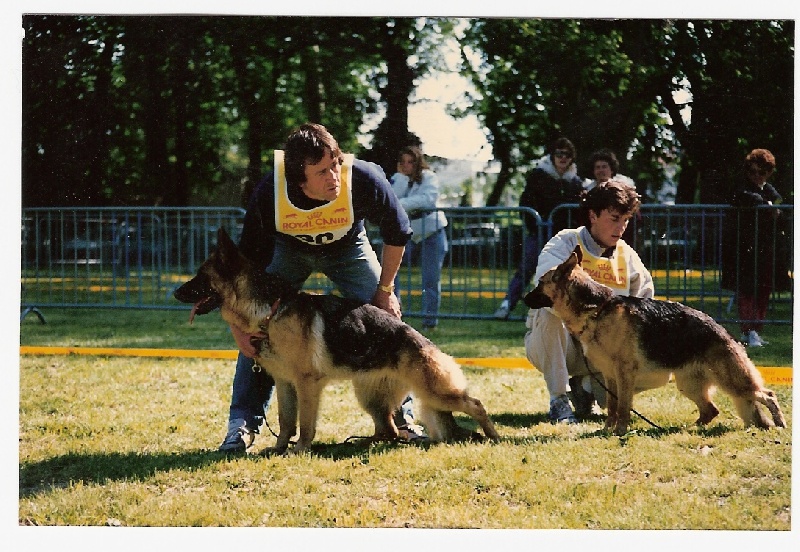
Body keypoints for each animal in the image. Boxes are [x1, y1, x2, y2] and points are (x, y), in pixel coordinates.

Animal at [175, 227, 500, 452]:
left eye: (201, 276)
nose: (176, 293)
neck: (270, 312)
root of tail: (423, 341)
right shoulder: (284, 384)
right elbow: (285, 421)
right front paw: (279, 448)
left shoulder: (306, 384)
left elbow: (305, 423)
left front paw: (300, 450)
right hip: (371, 397)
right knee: (389, 429)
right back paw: (363, 443)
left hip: (433, 392)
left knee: (476, 404)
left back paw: (495, 436)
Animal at [524, 247, 788, 436]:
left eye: (540, 283)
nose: (525, 299)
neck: (597, 309)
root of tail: (722, 331)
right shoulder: (610, 377)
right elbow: (612, 406)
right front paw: (607, 429)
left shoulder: (624, 375)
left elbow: (623, 406)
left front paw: (620, 431)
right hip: (689, 385)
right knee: (711, 410)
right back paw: (685, 430)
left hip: (732, 381)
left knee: (767, 395)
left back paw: (780, 423)